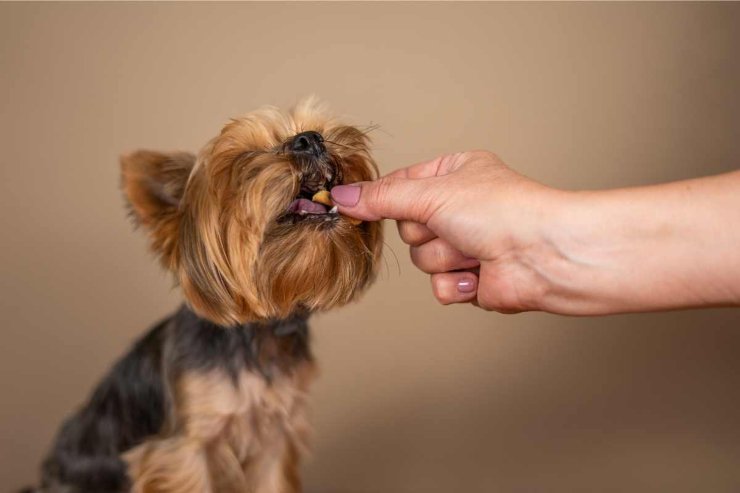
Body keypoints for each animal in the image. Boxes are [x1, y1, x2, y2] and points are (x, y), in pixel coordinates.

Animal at [24, 98, 382, 490]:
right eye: (244, 160)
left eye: (316, 129)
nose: (310, 139)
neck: (257, 334)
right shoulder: (184, 450)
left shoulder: (273, 439)